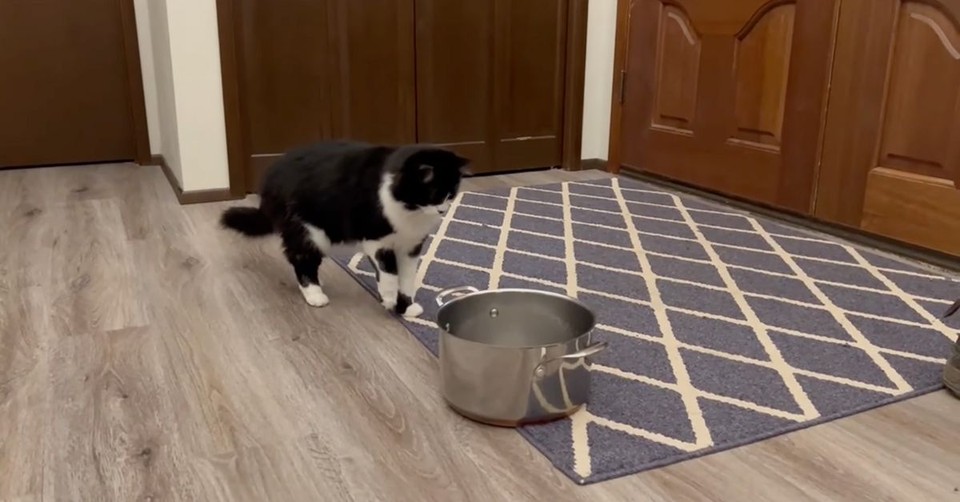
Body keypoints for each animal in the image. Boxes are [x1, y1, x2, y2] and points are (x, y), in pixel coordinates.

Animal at [221, 140, 468, 318]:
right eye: (435, 194)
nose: (443, 210)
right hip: (309, 231)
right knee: (301, 259)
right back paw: (315, 294)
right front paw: (389, 299)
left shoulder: (411, 246)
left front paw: (406, 308)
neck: (410, 212)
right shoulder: (377, 239)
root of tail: (270, 176)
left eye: (452, 193)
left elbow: (407, 279)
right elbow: (389, 273)